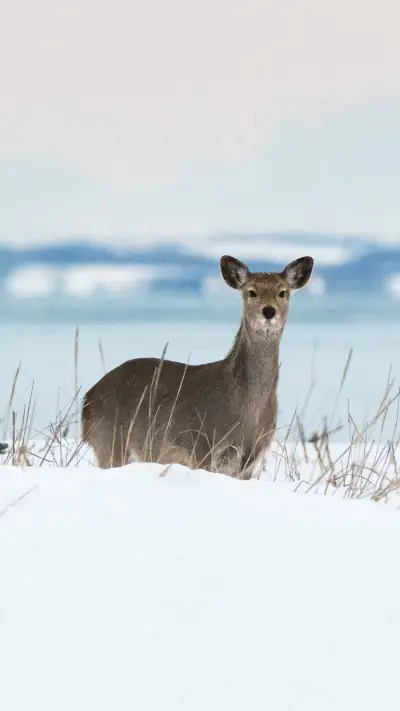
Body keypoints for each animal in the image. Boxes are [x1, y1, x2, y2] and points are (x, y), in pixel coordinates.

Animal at [82, 255, 314, 478]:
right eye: (252, 292)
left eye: (283, 292)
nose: (269, 311)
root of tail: (88, 399)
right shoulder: (203, 444)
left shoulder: (251, 461)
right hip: (110, 442)